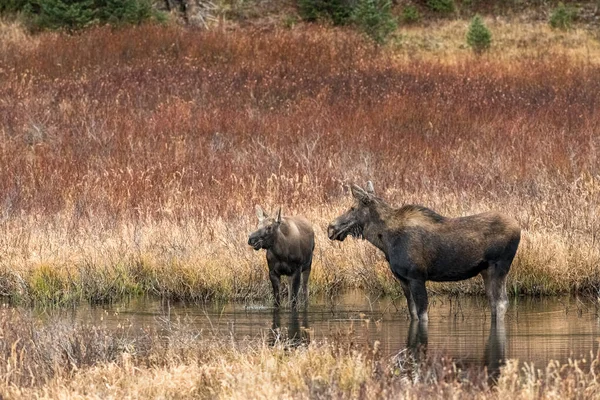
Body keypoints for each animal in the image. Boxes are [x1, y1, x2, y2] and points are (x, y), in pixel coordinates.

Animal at [328, 183, 520, 324]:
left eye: (352, 208)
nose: (331, 227)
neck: (385, 241)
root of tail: (519, 229)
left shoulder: (416, 276)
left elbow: (422, 314)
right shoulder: (403, 279)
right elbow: (413, 312)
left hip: (499, 266)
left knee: (501, 302)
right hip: (485, 270)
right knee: (494, 302)